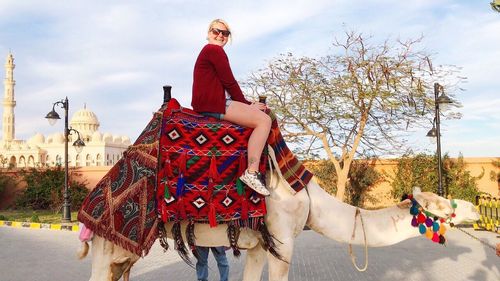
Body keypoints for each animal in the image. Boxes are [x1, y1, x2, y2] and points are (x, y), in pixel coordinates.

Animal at [78, 162, 480, 280]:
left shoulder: (258, 245)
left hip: (126, 252)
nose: (475, 210)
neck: (311, 201)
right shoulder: (283, 240)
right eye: (444, 206)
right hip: (106, 242)